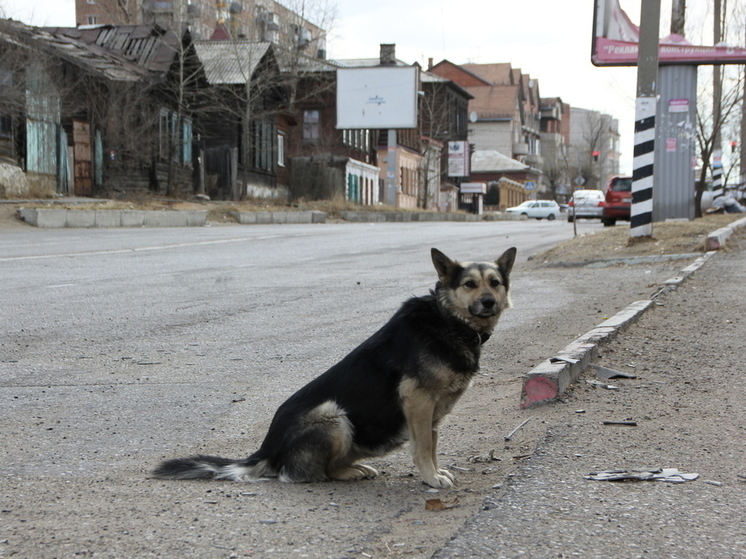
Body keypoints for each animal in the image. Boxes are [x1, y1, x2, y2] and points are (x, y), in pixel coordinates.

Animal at [148, 247, 516, 488]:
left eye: (495, 282)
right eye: (469, 284)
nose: (488, 302)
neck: (449, 320)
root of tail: (266, 451)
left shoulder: (432, 412)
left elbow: (433, 444)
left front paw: (435, 472)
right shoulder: (418, 401)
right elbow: (423, 447)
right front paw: (430, 478)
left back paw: (354, 469)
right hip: (333, 416)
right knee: (303, 474)